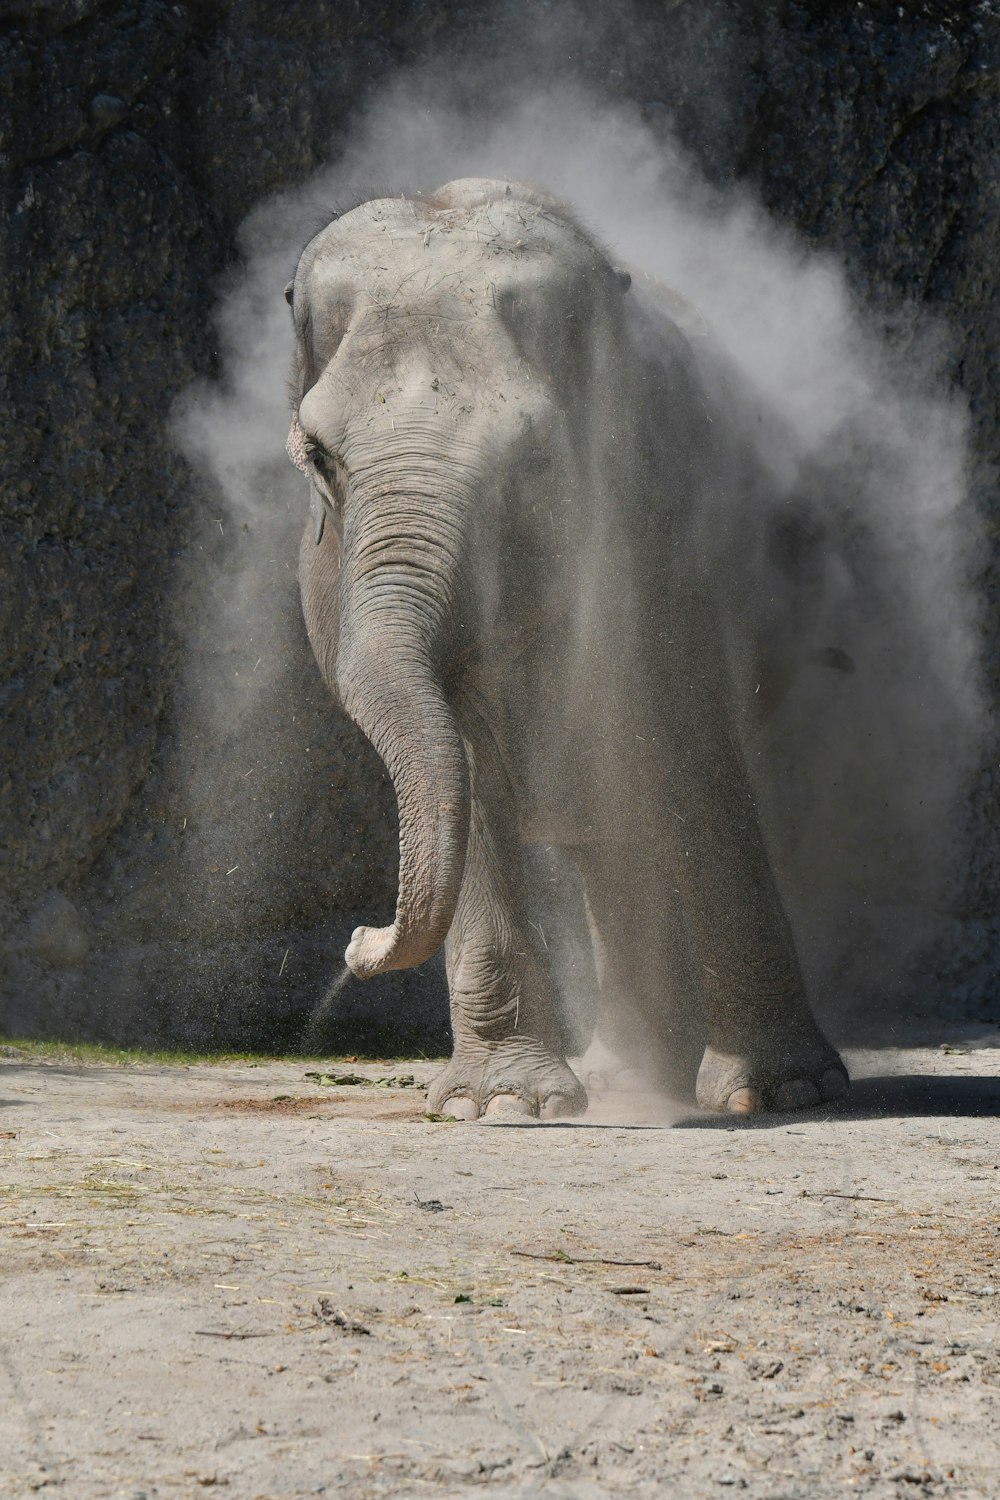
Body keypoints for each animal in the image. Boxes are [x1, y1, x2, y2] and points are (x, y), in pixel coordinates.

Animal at [284, 178, 851, 1116]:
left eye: (533, 464)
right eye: (318, 456)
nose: (356, 943)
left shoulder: (659, 532)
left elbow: (698, 752)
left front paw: (785, 1095)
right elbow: (469, 768)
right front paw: (500, 1106)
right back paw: (622, 1075)